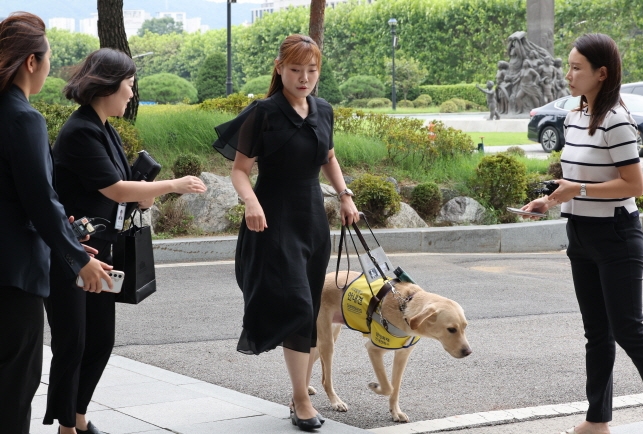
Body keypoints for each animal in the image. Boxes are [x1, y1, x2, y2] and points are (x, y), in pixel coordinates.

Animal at [312, 270, 472, 422]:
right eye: (451, 329)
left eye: (465, 327)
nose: (468, 352)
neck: (405, 306)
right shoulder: (374, 349)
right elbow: (388, 387)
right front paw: (375, 387)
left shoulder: (402, 355)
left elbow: (395, 388)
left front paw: (395, 412)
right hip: (327, 343)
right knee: (325, 380)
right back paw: (335, 402)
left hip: (324, 341)